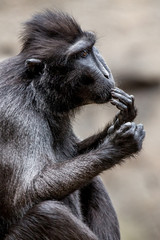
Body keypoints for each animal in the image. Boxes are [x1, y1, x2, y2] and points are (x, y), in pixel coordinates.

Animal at [0, 10, 146, 239]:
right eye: (82, 54)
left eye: (91, 49)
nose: (107, 73)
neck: (33, 87)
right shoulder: (14, 116)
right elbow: (28, 191)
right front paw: (118, 145)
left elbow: (73, 153)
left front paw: (122, 120)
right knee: (49, 214)